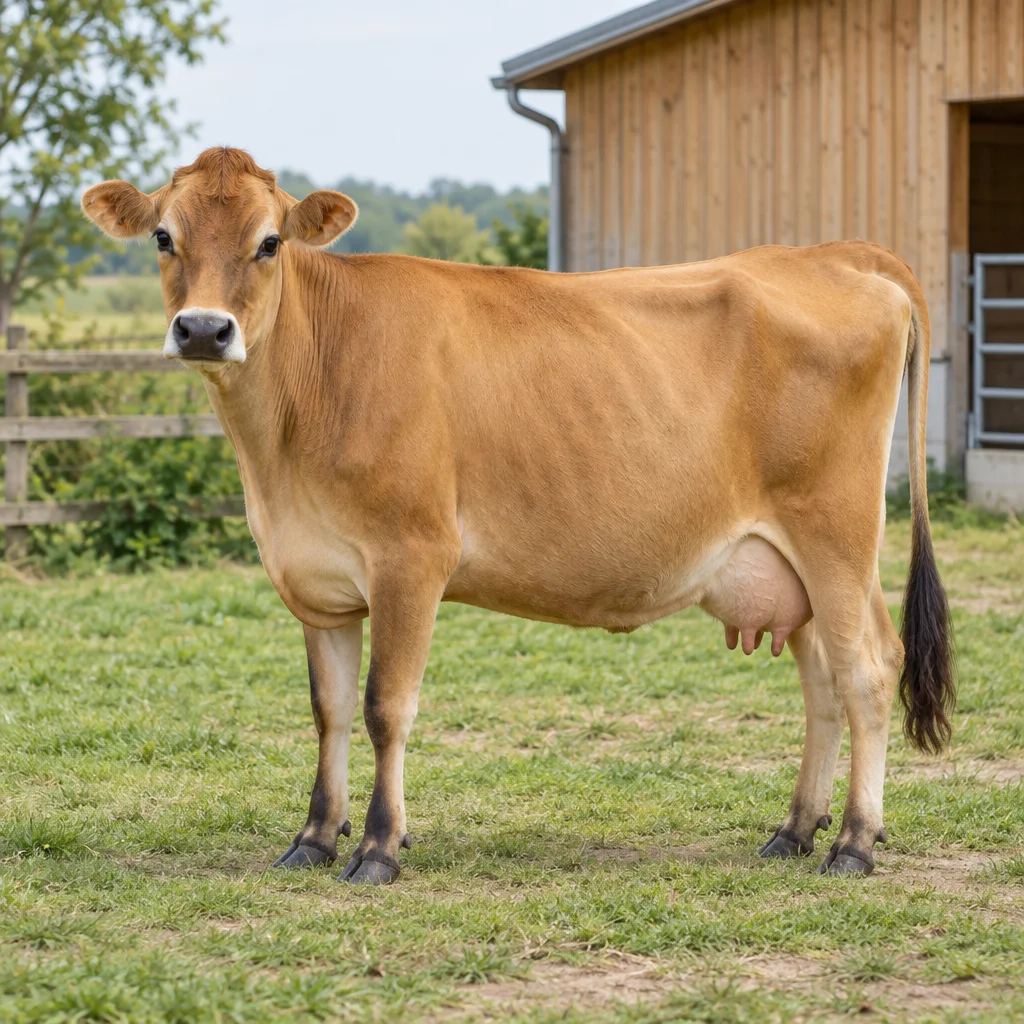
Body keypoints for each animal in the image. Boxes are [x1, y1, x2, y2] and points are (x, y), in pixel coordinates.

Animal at [82, 147, 955, 884]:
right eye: (163, 235)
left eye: (268, 243)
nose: (203, 329)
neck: (283, 449)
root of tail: (834, 254)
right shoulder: (318, 579)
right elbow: (328, 711)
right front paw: (312, 840)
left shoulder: (411, 557)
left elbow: (385, 706)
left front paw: (377, 848)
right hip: (788, 562)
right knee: (823, 681)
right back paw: (796, 829)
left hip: (836, 533)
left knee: (867, 669)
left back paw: (853, 843)